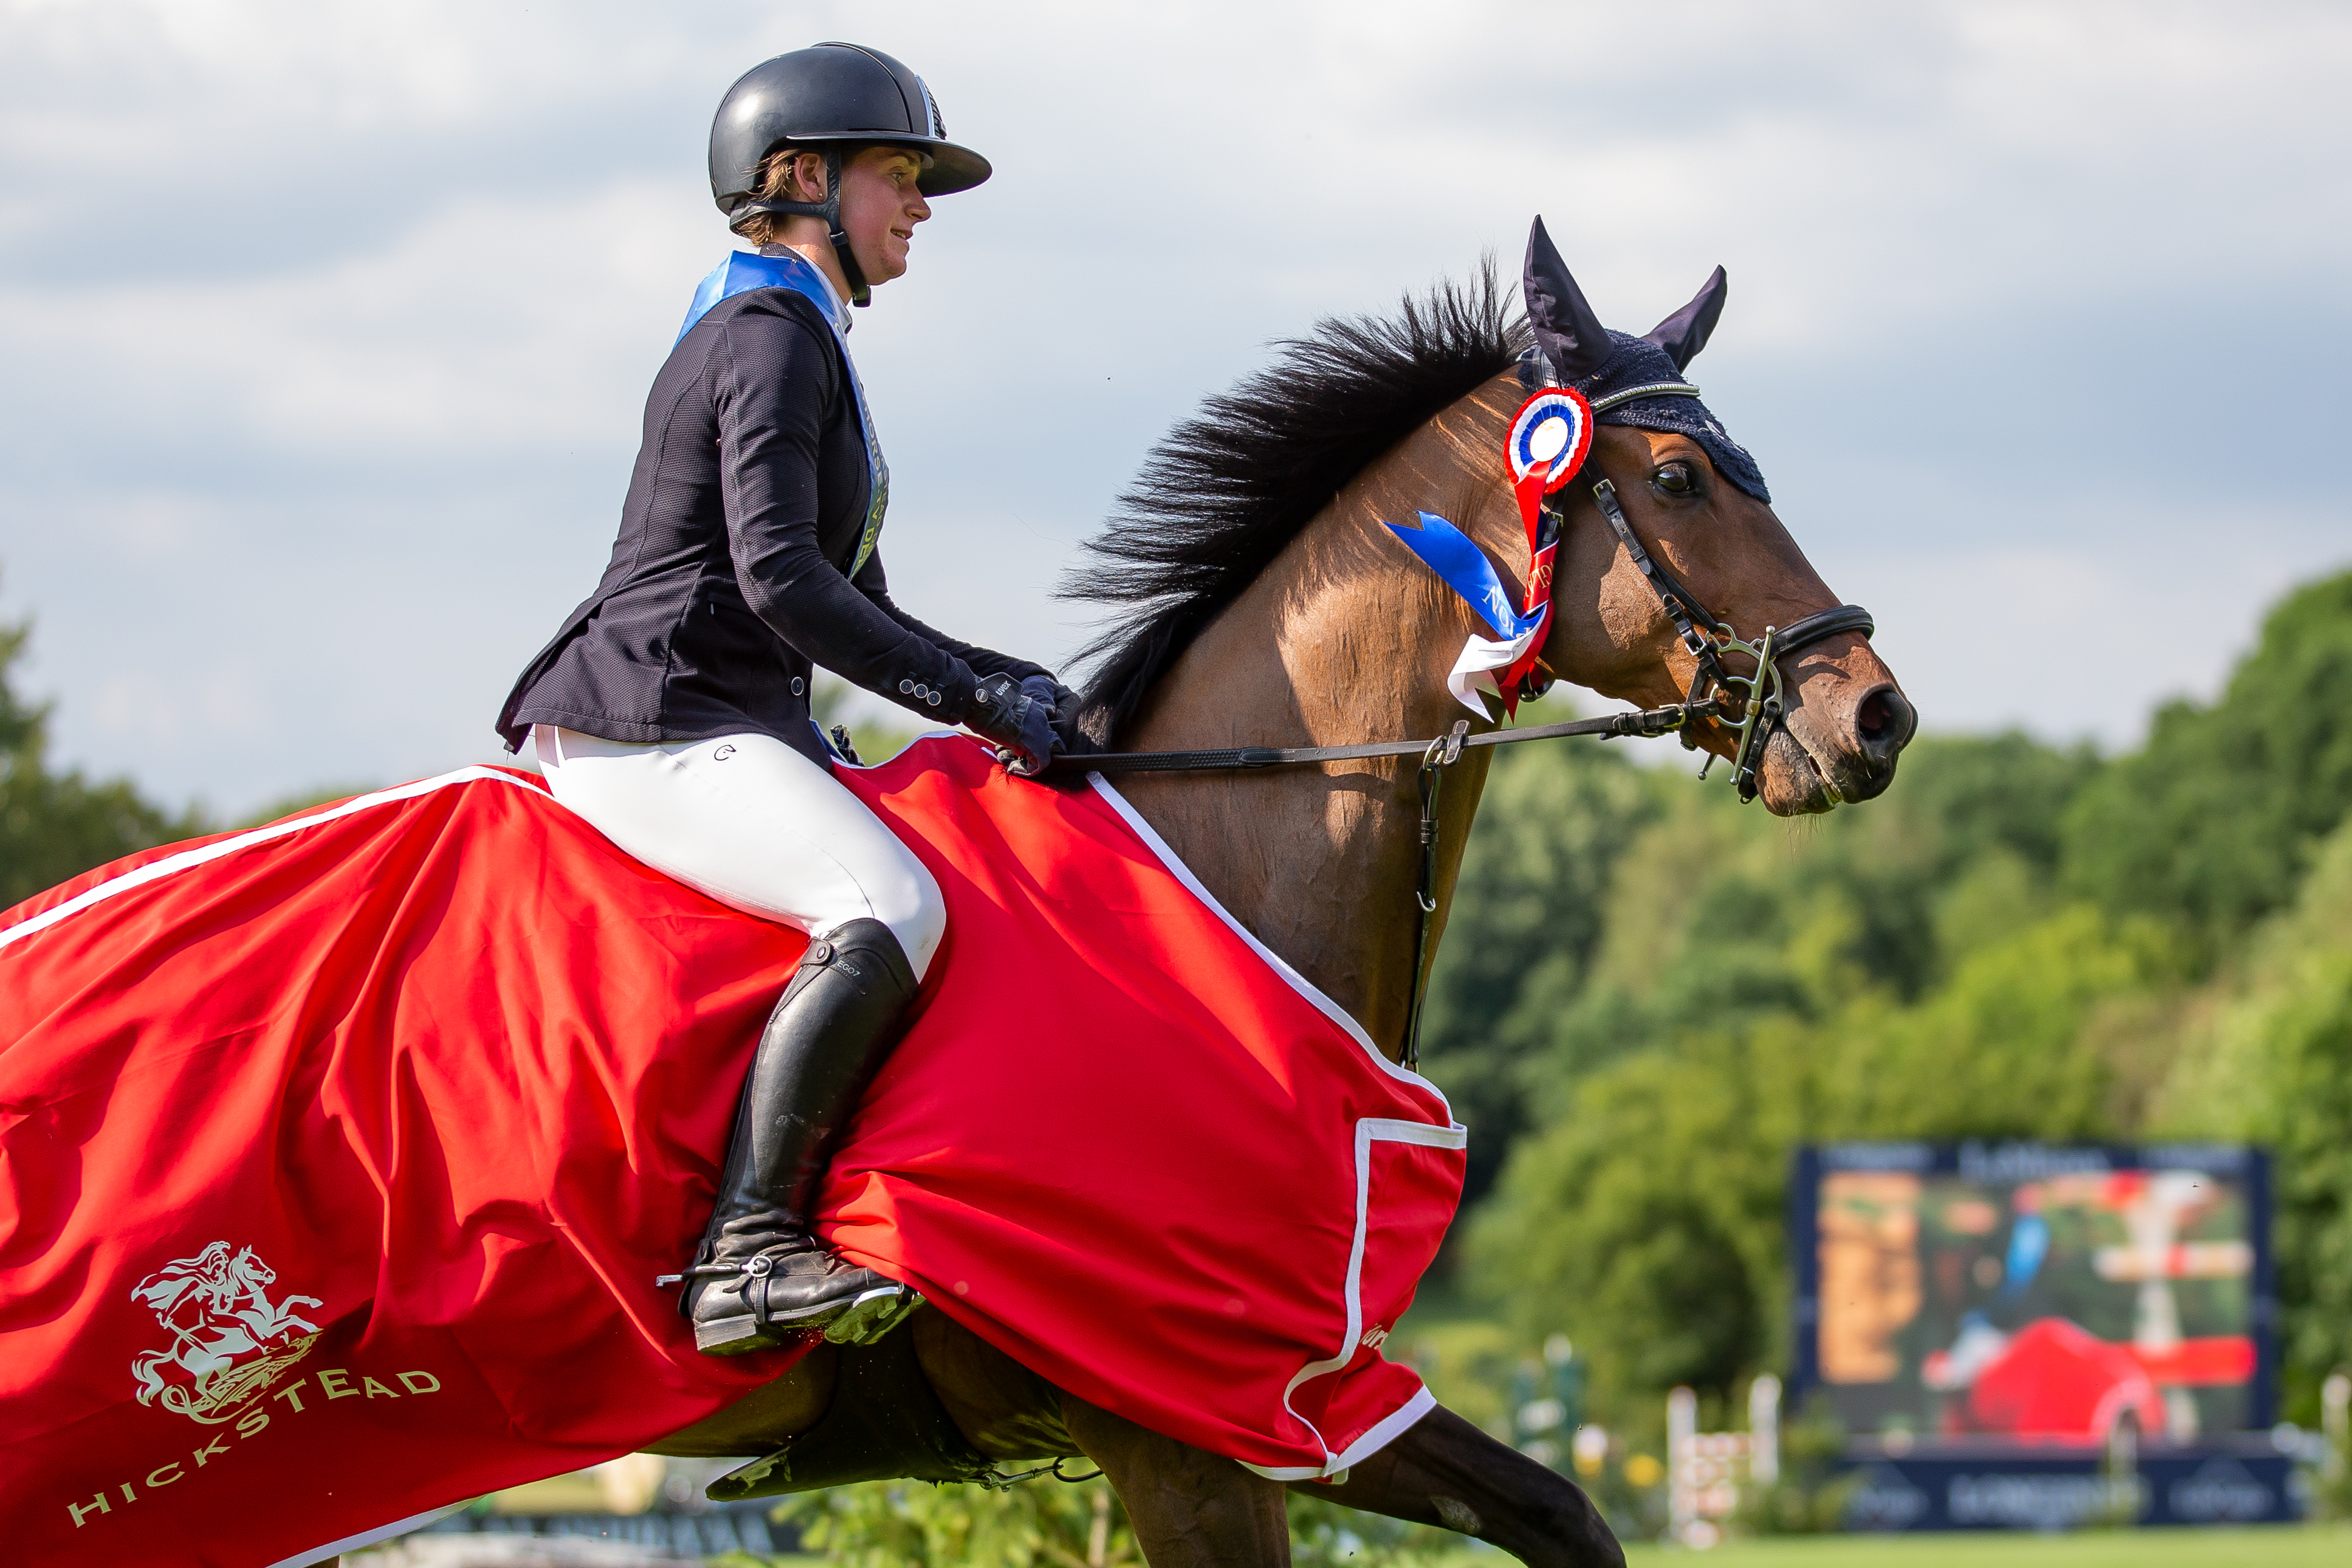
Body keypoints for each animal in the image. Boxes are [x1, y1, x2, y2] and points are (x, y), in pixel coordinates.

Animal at [613, 234, 1914, 1568]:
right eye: (1679, 478)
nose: (1878, 715)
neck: (1219, 865)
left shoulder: (1291, 1395)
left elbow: (1566, 1512)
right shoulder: (1177, 1430)